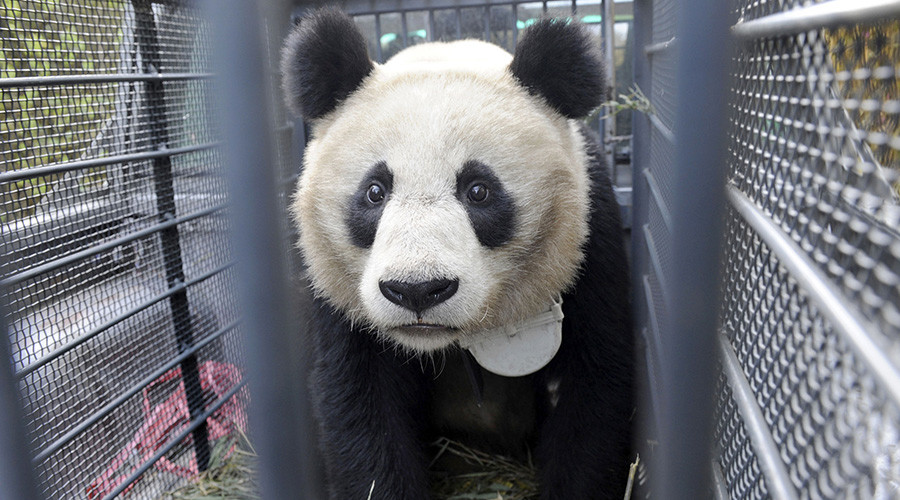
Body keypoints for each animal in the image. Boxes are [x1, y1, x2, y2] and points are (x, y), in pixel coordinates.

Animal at [282, 8, 632, 500]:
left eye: (478, 190)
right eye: (375, 191)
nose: (417, 290)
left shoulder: (590, 237)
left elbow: (595, 384)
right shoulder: (334, 290)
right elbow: (360, 403)